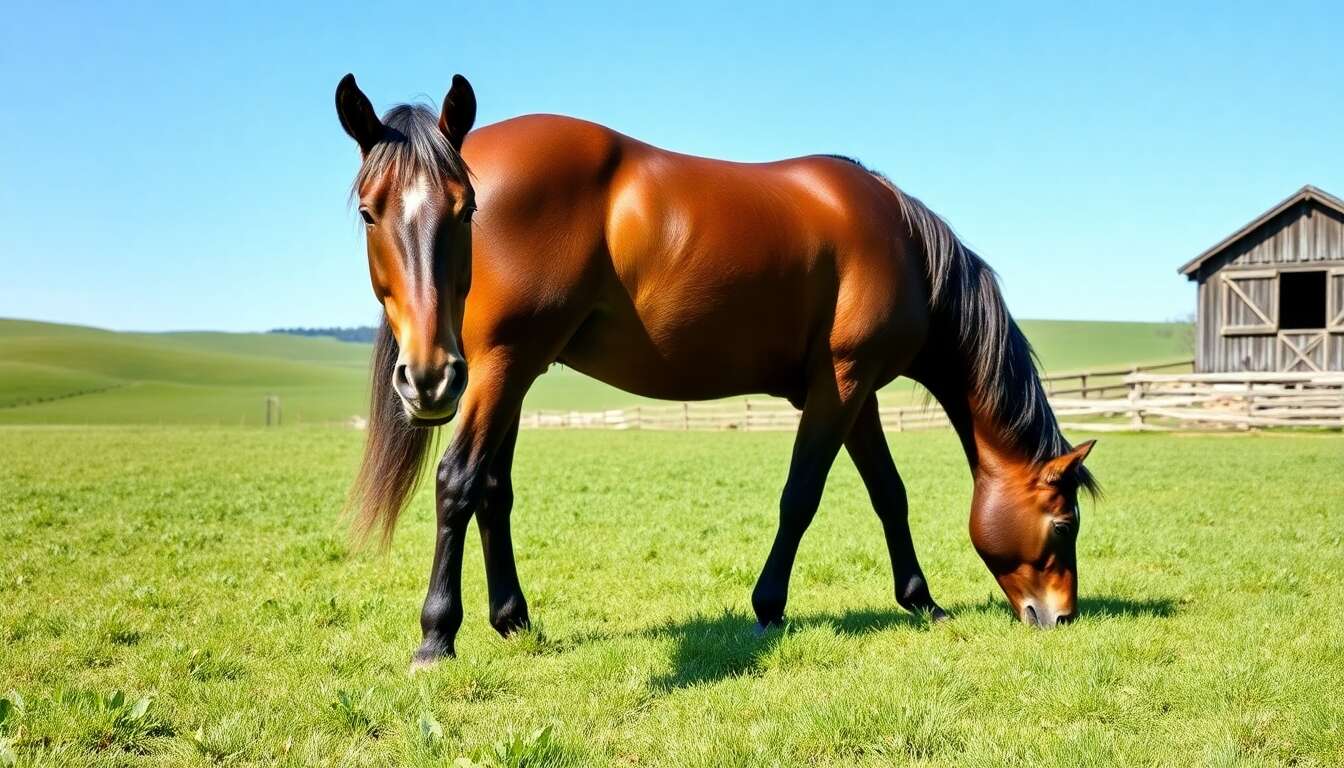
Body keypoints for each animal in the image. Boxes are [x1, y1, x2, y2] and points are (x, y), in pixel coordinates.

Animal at [335, 73, 1098, 665]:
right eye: (1064, 524)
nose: (1060, 617)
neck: (902, 243)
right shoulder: (840, 387)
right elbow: (801, 497)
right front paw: (768, 607)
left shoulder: (858, 395)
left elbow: (890, 495)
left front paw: (923, 601)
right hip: (495, 366)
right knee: (460, 482)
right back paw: (438, 636)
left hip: (513, 371)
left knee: (493, 489)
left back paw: (513, 619)